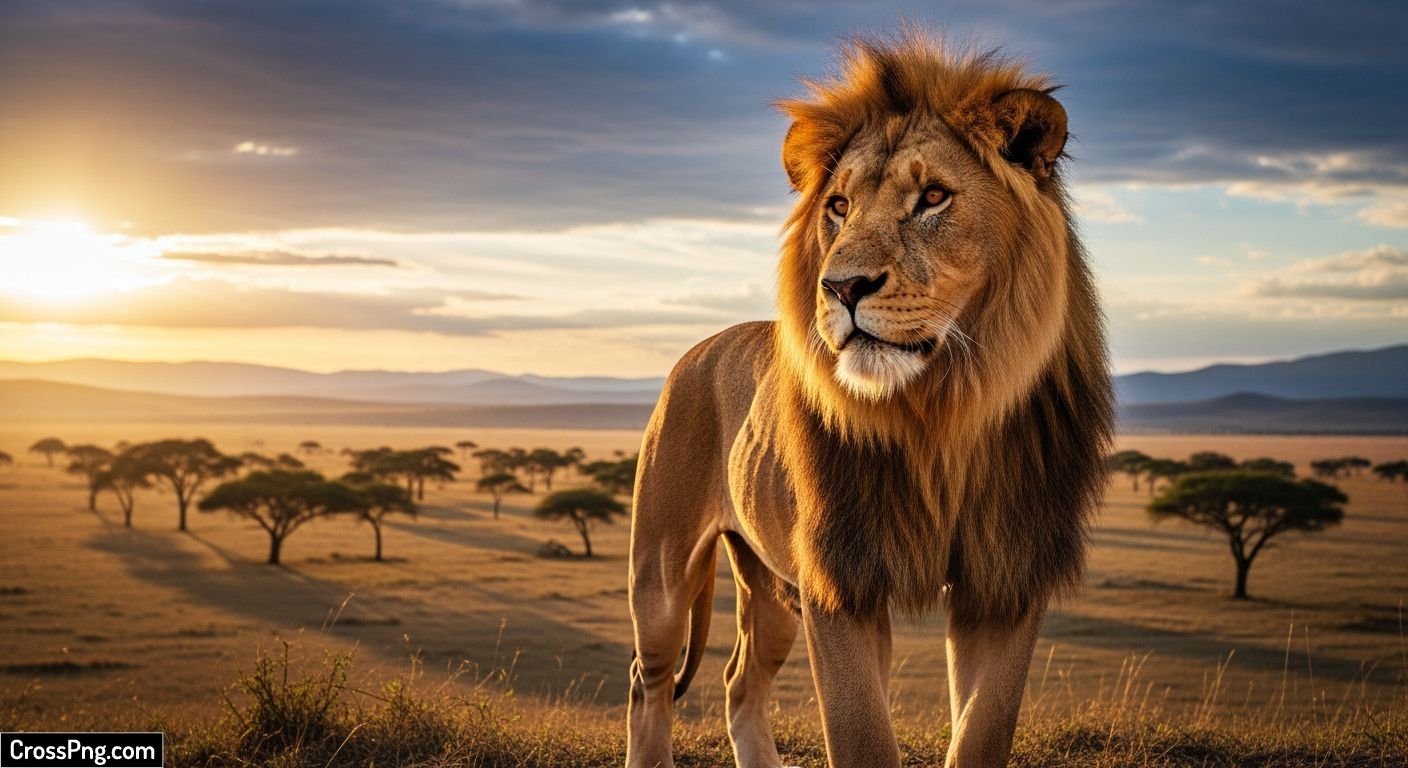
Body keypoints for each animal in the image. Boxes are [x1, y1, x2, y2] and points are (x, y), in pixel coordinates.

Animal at [626, 31, 1112, 768]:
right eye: (839, 206)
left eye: (933, 196)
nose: (841, 286)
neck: (942, 413)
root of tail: (699, 348)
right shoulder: (842, 578)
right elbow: (861, 734)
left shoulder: (1005, 578)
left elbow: (983, 729)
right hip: (662, 568)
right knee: (648, 680)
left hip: (772, 589)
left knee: (740, 681)